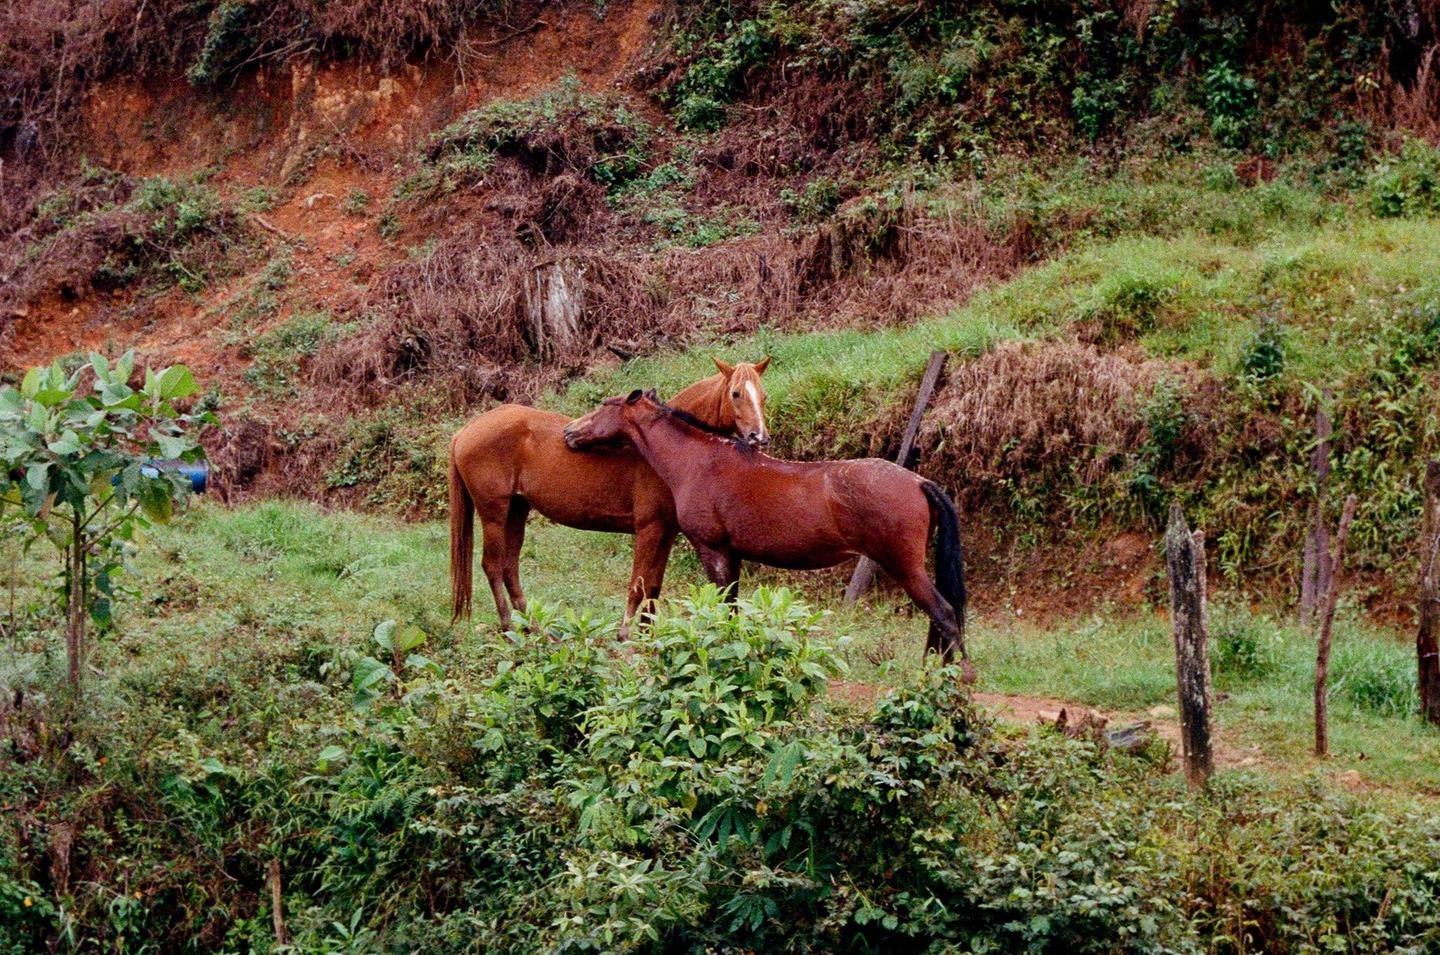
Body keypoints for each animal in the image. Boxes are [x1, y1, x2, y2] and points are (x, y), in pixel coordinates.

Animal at [449, 358, 771, 637]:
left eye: (763, 395)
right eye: (736, 393)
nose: (760, 438)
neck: (664, 449)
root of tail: (465, 430)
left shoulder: (666, 532)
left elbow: (654, 586)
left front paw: (647, 636)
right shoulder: (649, 528)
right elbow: (639, 584)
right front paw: (627, 635)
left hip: (517, 510)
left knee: (509, 568)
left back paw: (536, 631)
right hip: (493, 512)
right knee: (492, 566)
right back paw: (509, 629)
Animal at [563, 388, 973, 679]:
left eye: (604, 406)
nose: (569, 432)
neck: (699, 462)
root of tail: (919, 482)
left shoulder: (712, 549)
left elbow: (724, 608)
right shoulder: (732, 554)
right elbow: (733, 608)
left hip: (904, 566)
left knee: (944, 612)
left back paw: (960, 676)